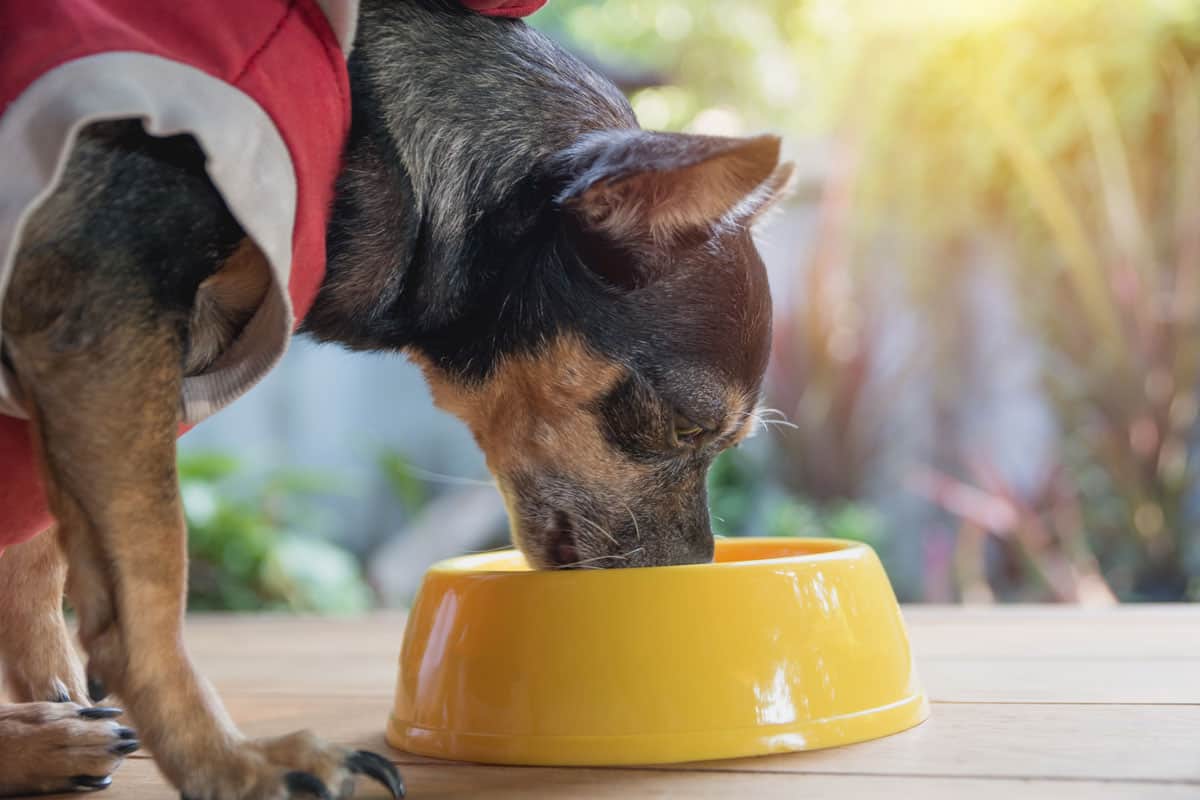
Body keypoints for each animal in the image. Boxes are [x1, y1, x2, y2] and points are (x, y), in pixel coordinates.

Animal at [0, 1, 792, 796]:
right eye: (689, 429)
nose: (691, 575)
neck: (368, 132)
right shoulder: (102, 322)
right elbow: (147, 595)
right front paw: (232, 763)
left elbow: (38, 560)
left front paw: (57, 694)